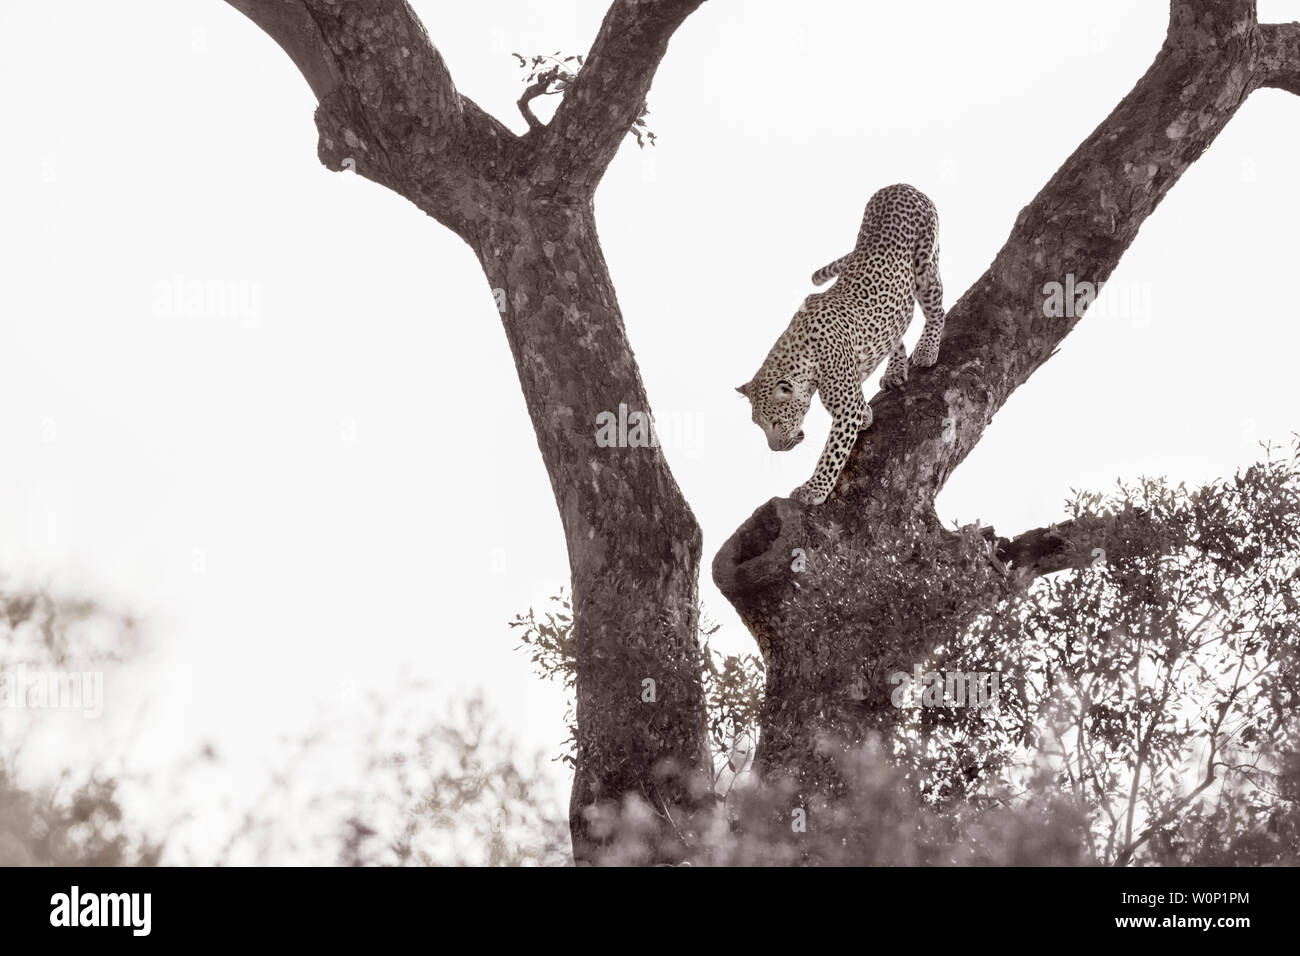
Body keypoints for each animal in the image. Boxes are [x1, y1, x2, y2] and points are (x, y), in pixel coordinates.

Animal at [736, 183, 945, 505]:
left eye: (773, 423)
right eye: (759, 425)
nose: (775, 448)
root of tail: (900, 185)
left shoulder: (844, 411)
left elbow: (831, 454)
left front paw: (813, 489)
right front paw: (868, 414)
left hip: (926, 266)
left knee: (937, 309)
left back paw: (926, 349)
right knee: (896, 329)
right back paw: (894, 370)